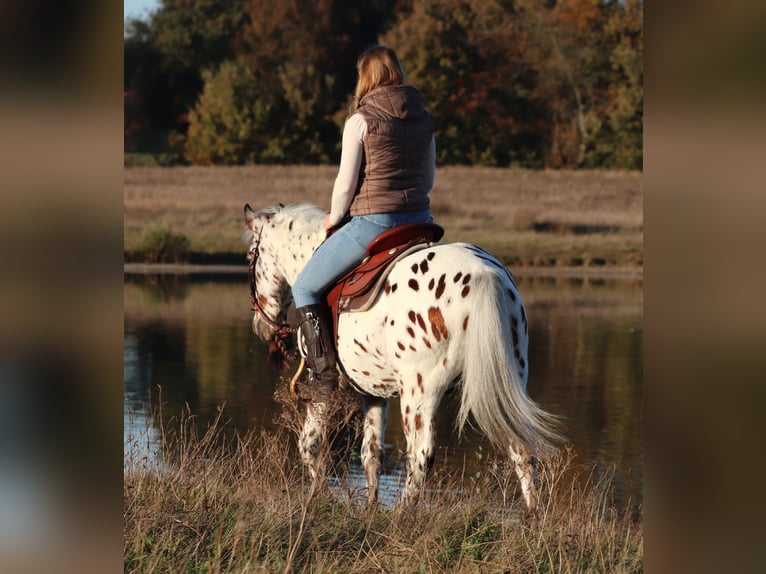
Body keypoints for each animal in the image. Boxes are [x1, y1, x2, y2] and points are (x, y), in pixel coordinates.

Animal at [246, 202, 564, 512]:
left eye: (251, 255)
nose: (261, 326)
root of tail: (483, 275)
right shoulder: (374, 393)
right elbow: (371, 453)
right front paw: (370, 509)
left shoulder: (320, 384)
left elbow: (308, 445)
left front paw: (318, 497)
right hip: (508, 381)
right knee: (521, 448)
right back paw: (533, 518)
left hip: (419, 392)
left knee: (421, 454)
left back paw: (402, 515)